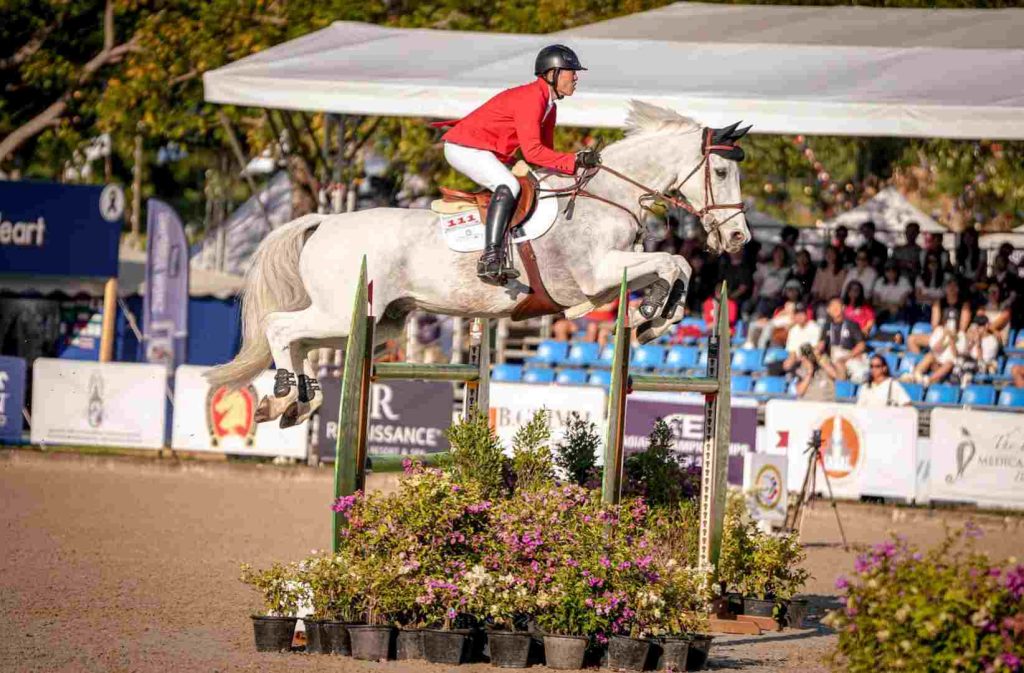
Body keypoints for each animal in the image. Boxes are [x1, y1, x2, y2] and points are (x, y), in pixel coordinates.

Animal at [205, 100, 751, 427]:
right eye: (722, 171)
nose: (740, 237)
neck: (606, 196)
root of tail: (323, 221)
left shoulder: (605, 281)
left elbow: (673, 266)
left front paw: (653, 317)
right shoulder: (595, 276)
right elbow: (674, 262)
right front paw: (652, 319)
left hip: (372, 323)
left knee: (299, 340)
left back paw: (297, 401)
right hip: (344, 312)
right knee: (281, 328)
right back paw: (284, 394)